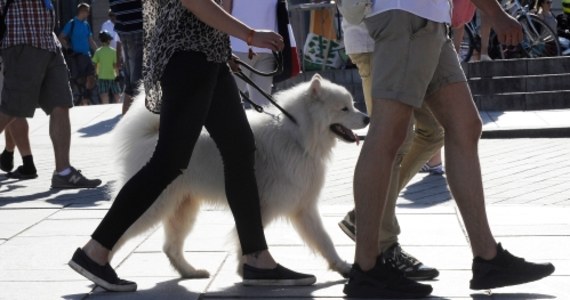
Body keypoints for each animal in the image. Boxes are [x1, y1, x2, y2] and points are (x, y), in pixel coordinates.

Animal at [109, 74, 370, 278]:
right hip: (156, 206)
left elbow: (325, 240)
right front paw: (248, 269)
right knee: (122, 231)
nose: (367, 117)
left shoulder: (303, 207)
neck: (297, 137)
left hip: (184, 208)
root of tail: (150, 136)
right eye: (344, 108)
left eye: (353, 104)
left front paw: (343, 267)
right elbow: (246, 236)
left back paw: (191, 272)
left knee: (170, 247)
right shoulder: (266, 206)